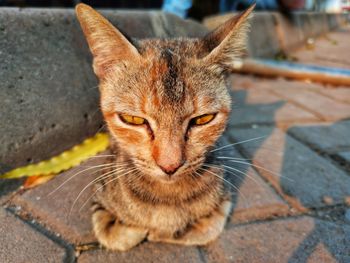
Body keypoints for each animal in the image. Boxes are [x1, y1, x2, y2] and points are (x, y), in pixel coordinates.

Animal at [75, 3, 253, 252]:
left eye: (203, 119)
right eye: (133, 120)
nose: (170, 166)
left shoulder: (224, 199)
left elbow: (206, 227)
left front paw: (165, 231)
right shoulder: (100, 194)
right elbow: (115, 234)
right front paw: (141, 229)